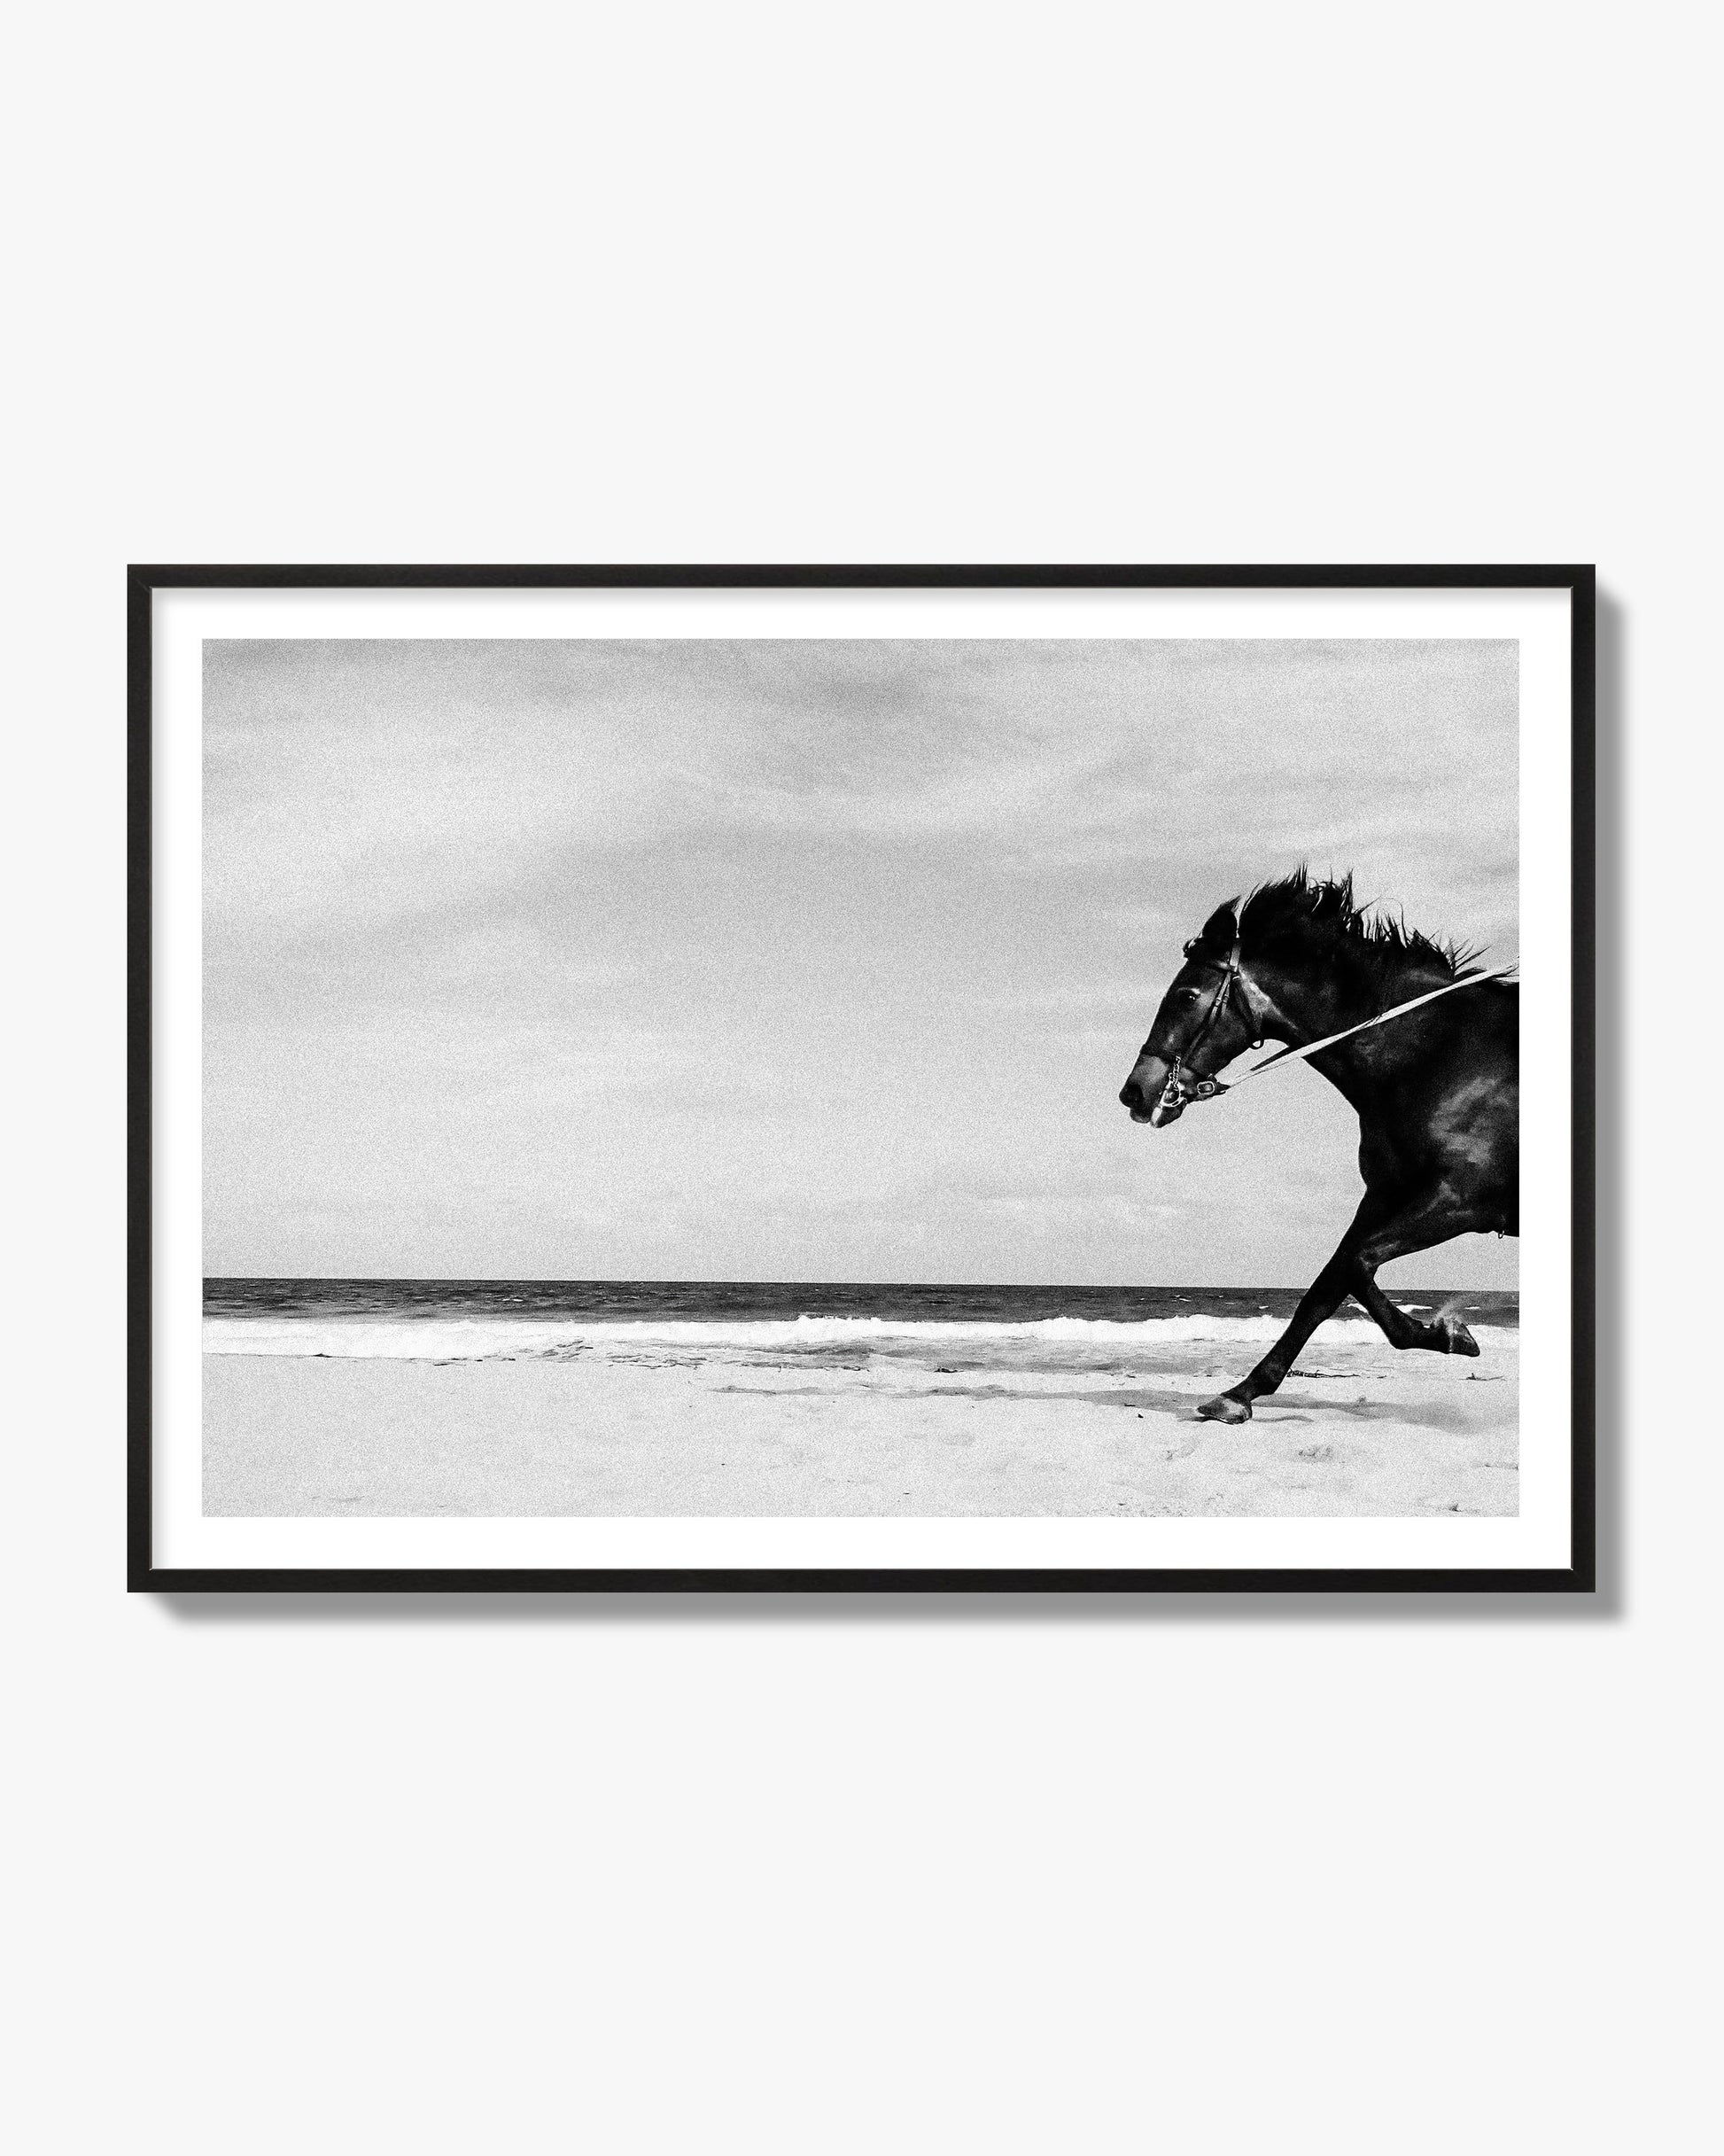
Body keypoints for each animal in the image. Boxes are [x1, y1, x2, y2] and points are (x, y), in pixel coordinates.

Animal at [1116, 870, 1518, 1423]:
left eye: (1187, 994)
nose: (1135, 1092)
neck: (1441, 1056)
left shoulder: (1462, 1200)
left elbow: (1355, 1265)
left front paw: (1448, 1332)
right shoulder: (1386, 1195)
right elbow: (1328, 1285)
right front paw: (1240, 1392)